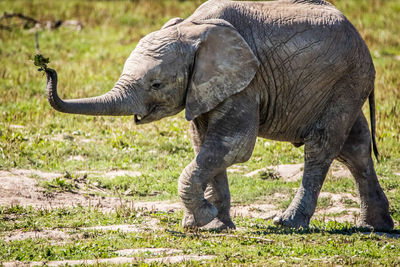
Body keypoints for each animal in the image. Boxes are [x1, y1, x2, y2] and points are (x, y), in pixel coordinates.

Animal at [42, 0, 392, 230]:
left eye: (156, 84)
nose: (47, 69)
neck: (191, 28)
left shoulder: (247, 82)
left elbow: (232, 145)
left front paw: (202, 220)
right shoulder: (204, 87)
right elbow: (205, 145)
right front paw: (215, 225)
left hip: (345, 81)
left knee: (321, 147)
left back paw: (287, 223)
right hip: (345, 85)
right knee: (355, 148)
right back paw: (376, 227)